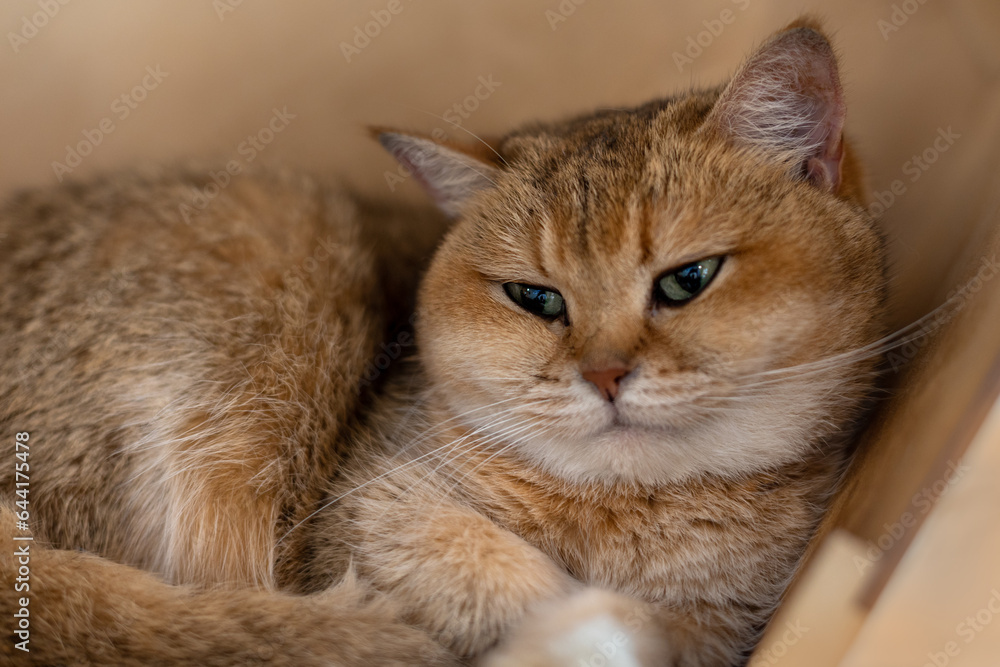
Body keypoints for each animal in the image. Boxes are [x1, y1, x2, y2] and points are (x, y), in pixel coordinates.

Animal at [3, 19, 888, 667]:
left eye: (687, 279)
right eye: (535, 298)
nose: (605, 375)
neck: (623, 517)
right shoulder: (371, 508)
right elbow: (494, 573)